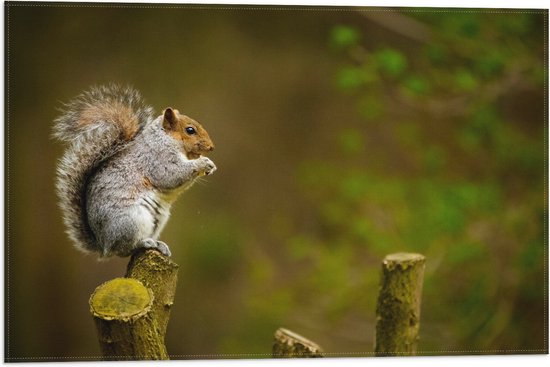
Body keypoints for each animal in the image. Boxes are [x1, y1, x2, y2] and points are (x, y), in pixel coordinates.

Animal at [51, 85, 216, 258]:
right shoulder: (157, 159)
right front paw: (203, 163)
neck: (165, 138)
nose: (211, 147)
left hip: (157, 220)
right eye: (190, 130)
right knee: (125, 248)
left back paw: (159, 244)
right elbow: (172, 175)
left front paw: (209, 165)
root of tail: (104, 245)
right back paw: (146, 243)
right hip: (131, 220)